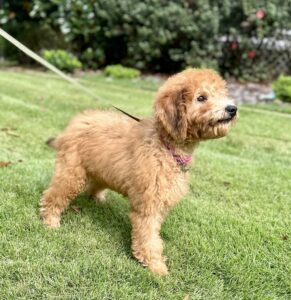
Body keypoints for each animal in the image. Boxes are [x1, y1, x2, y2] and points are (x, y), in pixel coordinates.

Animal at [40, 69, 237, 276]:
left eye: (220, 93)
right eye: (201, 97)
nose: (232, 108)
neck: (164, 145)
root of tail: (76, 122)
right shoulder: (149, 204)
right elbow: (149, 236)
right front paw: (155, 266)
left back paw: (98, 198)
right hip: (71, 172)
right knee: (55, 194)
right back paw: (50, 220)